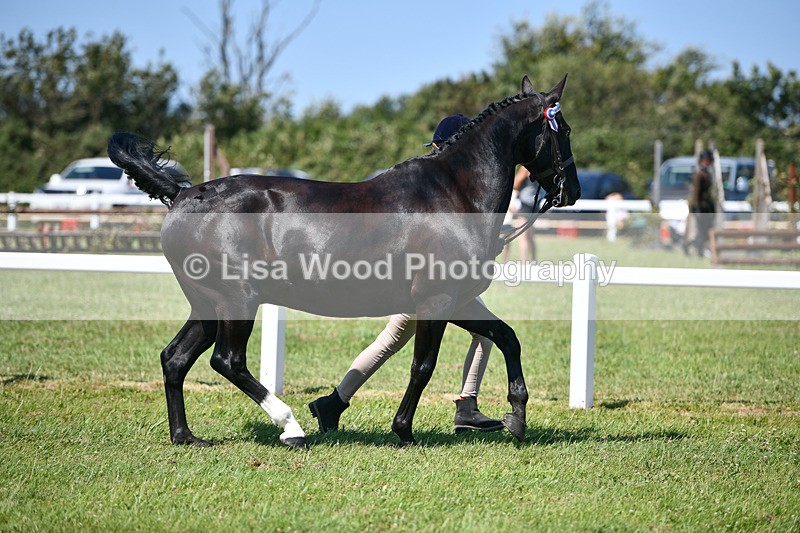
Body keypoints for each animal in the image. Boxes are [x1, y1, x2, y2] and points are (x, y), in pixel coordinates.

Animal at [107, 75, 579, 449]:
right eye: (566, 131)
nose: (571, 191)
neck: (452, 195)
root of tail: (183, 194)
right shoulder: (436, 301)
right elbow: (423, 367)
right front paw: (403, 430)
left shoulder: (456, 302)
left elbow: (507, 337)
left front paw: (517, 416)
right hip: (237, 300)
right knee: (227, 361)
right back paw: (291, 427)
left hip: (208, 305)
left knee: (175, 358)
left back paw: (186, 436)